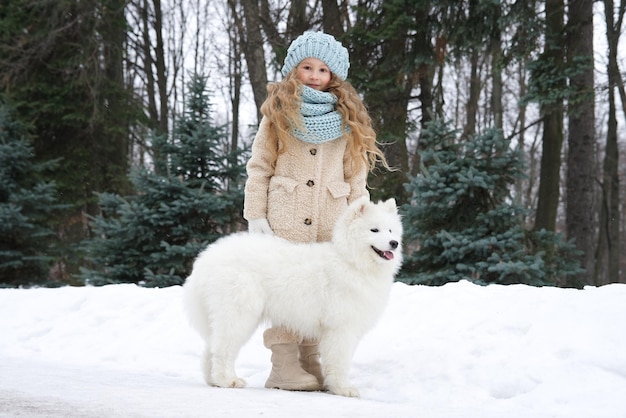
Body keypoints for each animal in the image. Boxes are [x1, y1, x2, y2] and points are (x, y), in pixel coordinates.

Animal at [183, 198, 402, 396]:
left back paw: (213, 380)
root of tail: (206, 259)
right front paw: (343, 388)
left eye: (391, 230)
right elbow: (339, 360)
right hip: (239, 313)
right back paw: (228, 380)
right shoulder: (341, 328)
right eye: (374, 230)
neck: (350, 261)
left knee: (211, 347)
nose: (394, 243)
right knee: (223, 349)